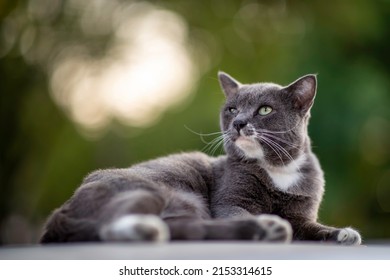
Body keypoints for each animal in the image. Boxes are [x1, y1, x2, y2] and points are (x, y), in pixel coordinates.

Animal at [40, 72, 362, 245]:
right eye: (232, 109)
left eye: (265, 110)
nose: (239, 122)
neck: (278, 168)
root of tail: (60, 211)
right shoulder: (228, 200)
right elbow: (235, 209)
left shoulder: (301, 214)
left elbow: (312, 228)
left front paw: (343, 234)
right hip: (151, 189)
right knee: (109, 224)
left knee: (192, 229)